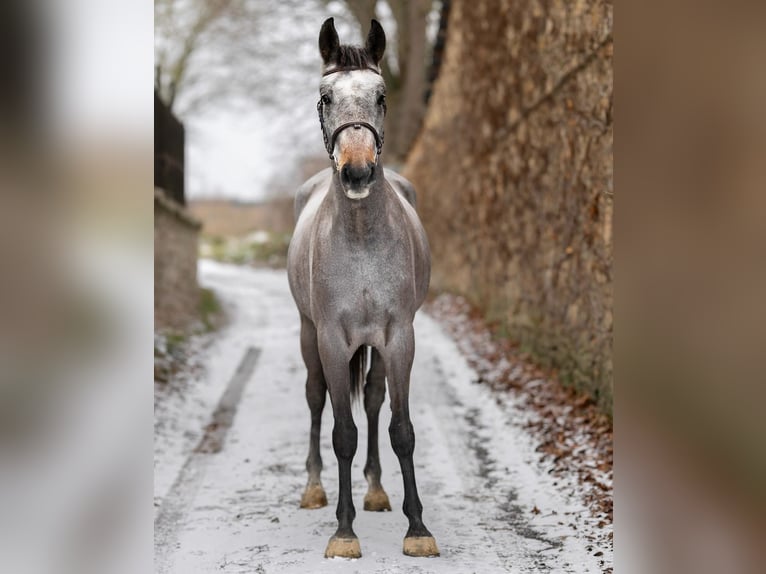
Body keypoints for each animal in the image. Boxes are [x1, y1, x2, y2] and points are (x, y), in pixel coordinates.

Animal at [286, 17, 439, 560]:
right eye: (325, 96)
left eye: (381, 95)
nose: (357, 170)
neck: (360, 238)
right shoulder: (333, 340)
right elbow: (343, 433)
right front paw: (343, 531)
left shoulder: (399, 339)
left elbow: (401, 429)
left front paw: (417, 528)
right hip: (308, 334)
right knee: (314, 399)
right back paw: (314, 488)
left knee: (372, 399)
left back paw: (375, 489)